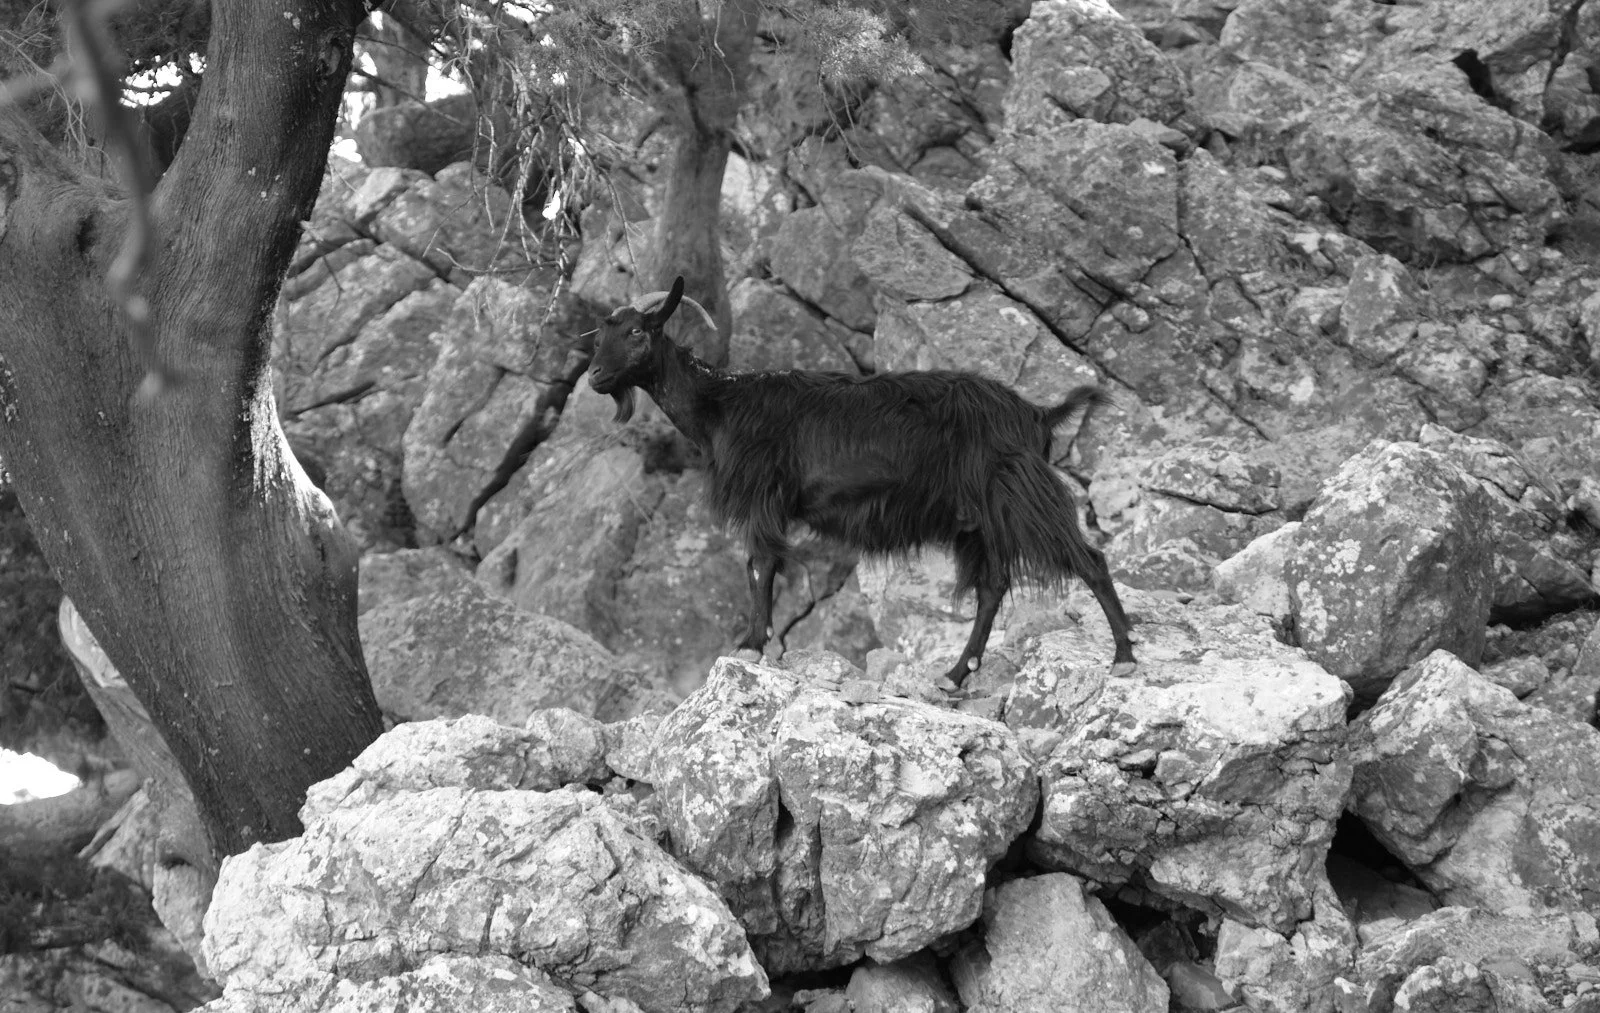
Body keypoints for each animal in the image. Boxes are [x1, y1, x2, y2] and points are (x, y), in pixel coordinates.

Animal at [587, 276, 1137, 687]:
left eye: (636, 331)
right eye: (600, 334)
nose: (593, 377)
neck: (720, 403)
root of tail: (1038, 414)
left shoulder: (765, 497)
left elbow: (760, 566)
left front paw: (750, 646)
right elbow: (758, 567)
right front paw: (755, 644)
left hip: (1020, 495)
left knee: (1089, 560)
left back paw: (1125, 657)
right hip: (979, 520)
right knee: (993, 586)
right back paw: (955, 675)